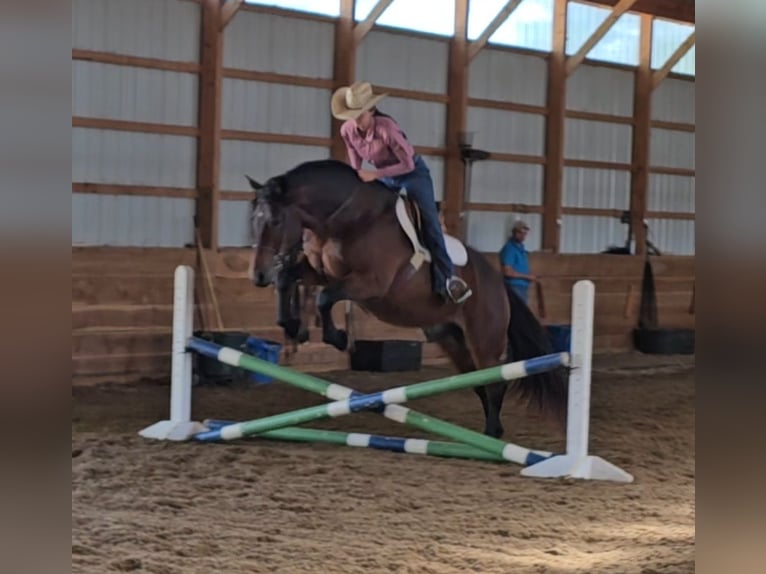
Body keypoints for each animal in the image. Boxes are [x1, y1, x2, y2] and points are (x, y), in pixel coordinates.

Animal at [245, 159, 567, 439]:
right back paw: (488, 435)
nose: (259, 275)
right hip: (452, 340)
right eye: (254, 221)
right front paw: (294, 328)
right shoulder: (320, 272)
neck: (345, 219)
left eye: (275, 220)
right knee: (478, 383)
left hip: (485, 340)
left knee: (494, 382)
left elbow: (325, 298)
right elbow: (289, 279)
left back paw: (492, 435)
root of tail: (499, 283)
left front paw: (336, 337)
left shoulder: (371, 284)